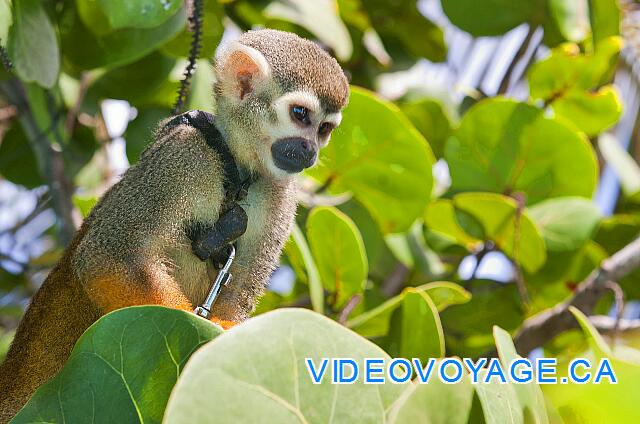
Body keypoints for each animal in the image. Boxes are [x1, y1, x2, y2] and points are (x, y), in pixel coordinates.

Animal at [0, 29, 348, 420]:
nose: (309, 151)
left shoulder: (283, 193)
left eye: (324, 129)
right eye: (301, 114)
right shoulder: (183, 151)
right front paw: (210, 328)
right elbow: (110, 258)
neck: (238, 166)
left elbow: (239, 290)